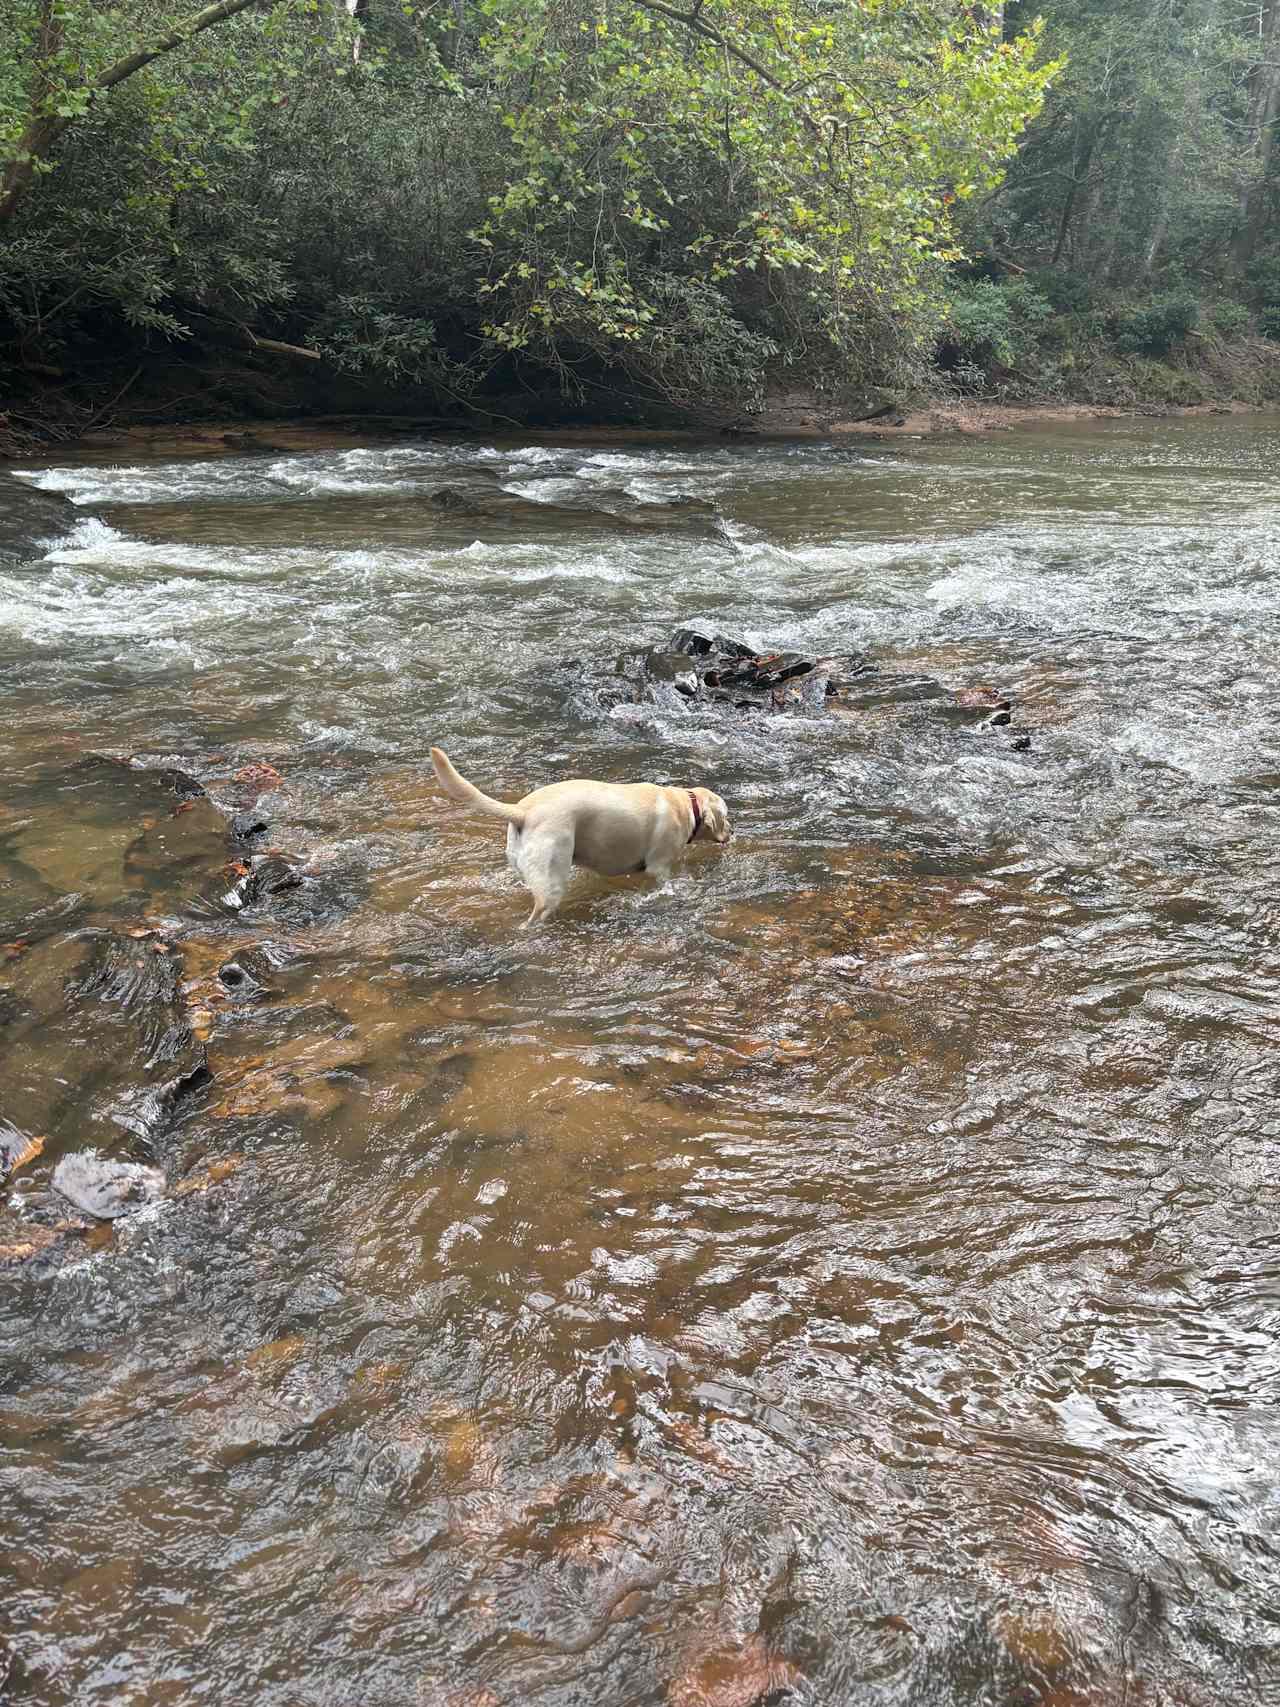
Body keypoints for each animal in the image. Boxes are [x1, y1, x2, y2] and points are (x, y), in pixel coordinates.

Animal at [431, 747, 730, 928]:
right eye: (726, 815)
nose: (733, 831)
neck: (687, 805)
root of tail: (522, 812)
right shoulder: (659, 868)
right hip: (551, 880)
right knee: (537, 915)